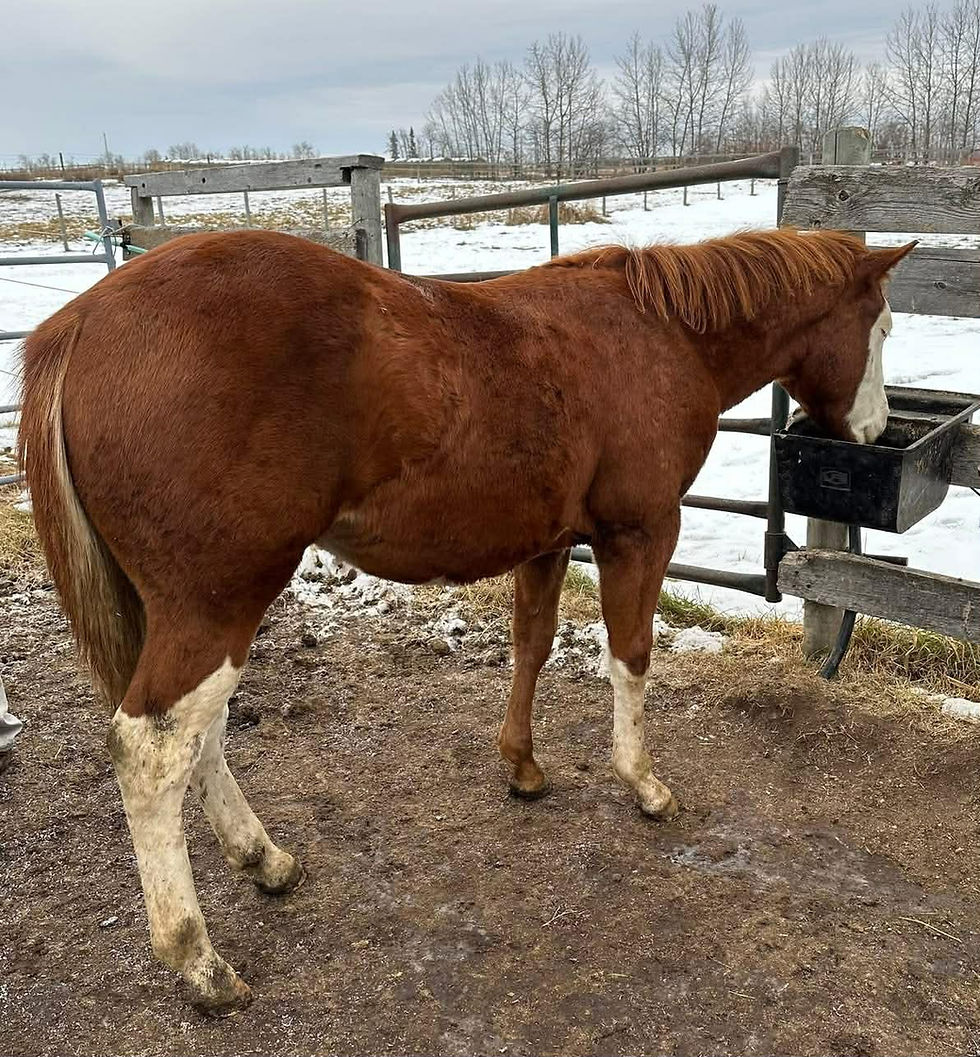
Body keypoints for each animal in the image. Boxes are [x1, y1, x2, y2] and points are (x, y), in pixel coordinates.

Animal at [18, 226, 914, 1012]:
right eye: (881, 325)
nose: (874, 430)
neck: (658, 334)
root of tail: (80, 324)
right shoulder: (640, 532)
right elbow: (630, 655)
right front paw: (643, 783)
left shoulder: (548, 542)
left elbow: (533, 646)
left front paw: (522, 766)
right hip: (217, 605)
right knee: (154, 749)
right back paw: (198, 961)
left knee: (196, 740)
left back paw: (264, 860)